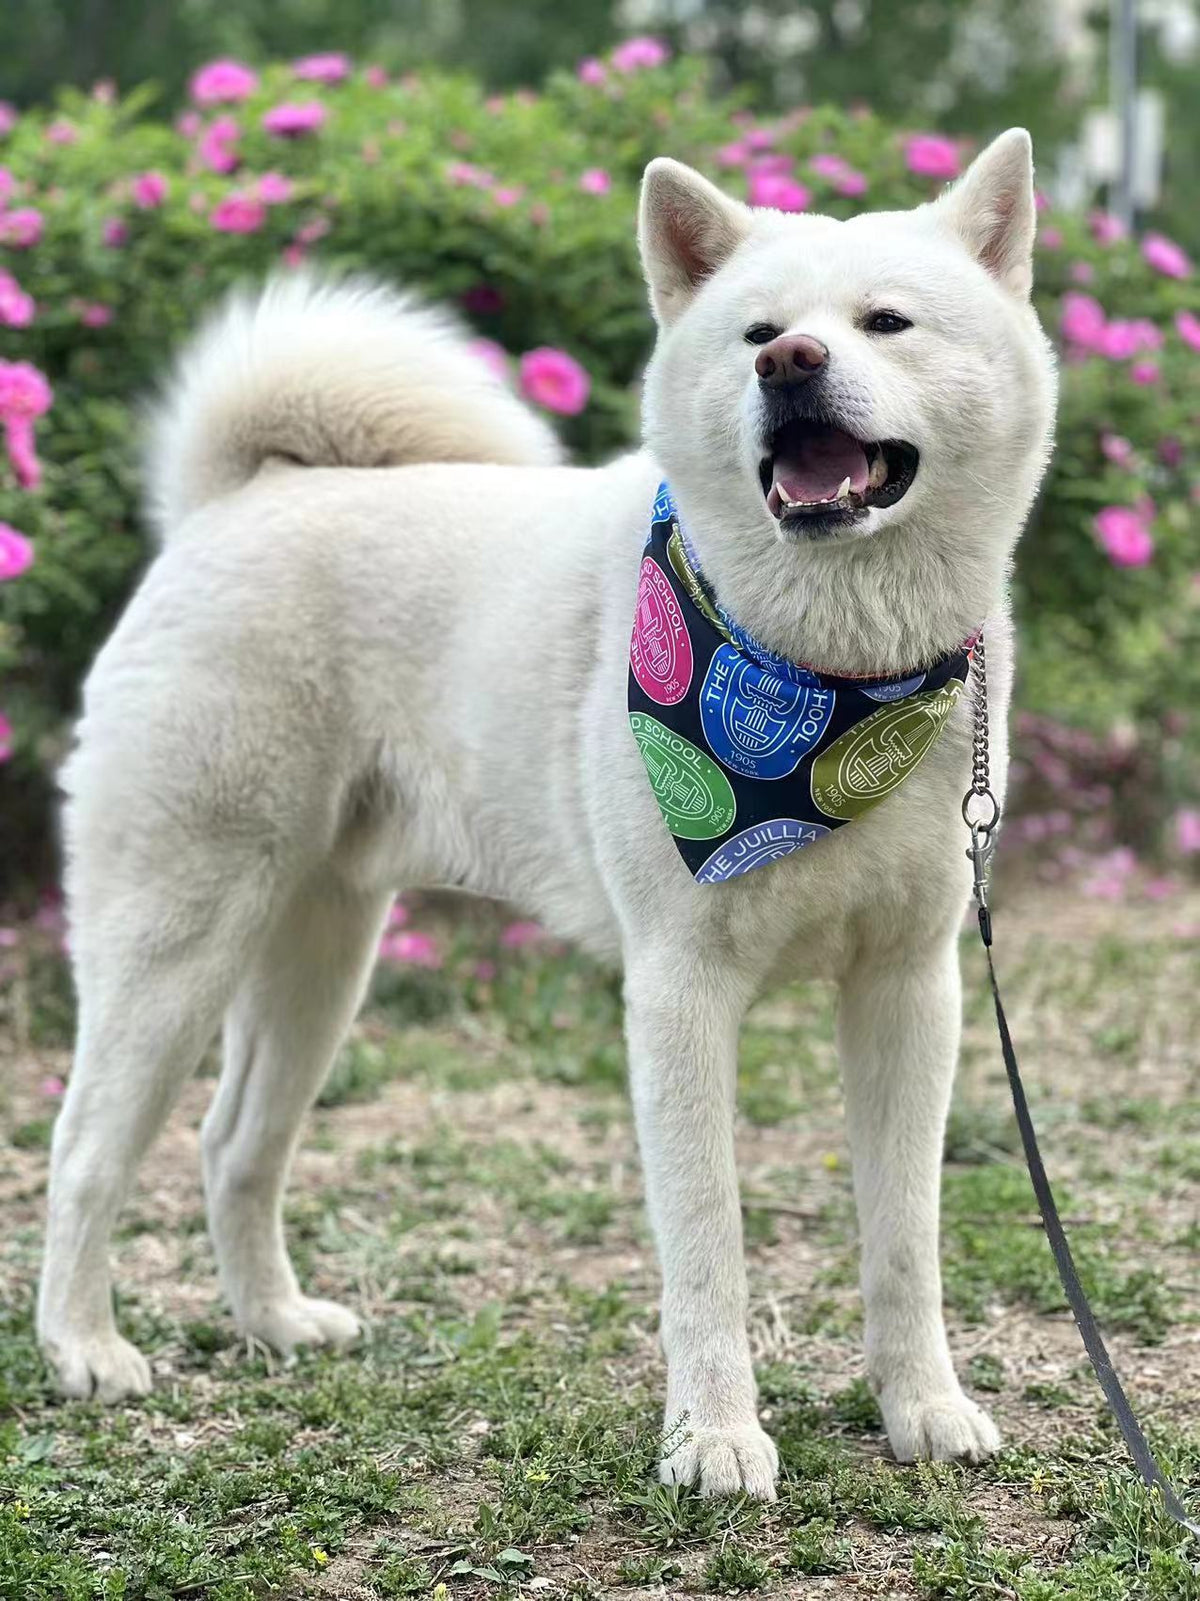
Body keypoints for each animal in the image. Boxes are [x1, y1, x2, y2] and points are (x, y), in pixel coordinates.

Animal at [37, 128, 1049, 1498]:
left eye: (887, 321)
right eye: (757, 332)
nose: (790, 362)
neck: (831, 675)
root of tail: (237, 500)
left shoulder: (910, 989)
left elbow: (906, 1240)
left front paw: (924, 1408)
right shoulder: (678, 993)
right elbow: (706, 1248)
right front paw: (714, 1438)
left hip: (319, 955)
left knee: (232, 1144)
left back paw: (276, 1323)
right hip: (175, 943)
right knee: (85, 1150)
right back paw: (83, 1347)